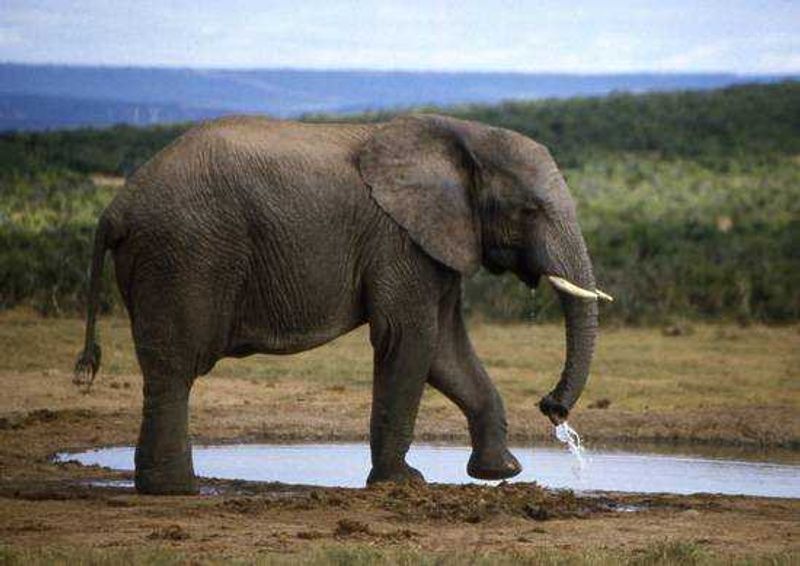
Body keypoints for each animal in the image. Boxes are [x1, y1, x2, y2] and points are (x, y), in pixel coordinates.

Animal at [74, 114, 611, 495]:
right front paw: (403, 483)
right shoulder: (399, 240)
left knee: (165, 369)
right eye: (530, 210)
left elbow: (445, 351)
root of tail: (116, 208)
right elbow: (411, 340)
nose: (551, 406)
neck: (464, 134)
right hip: (186, 255)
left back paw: (162, 487)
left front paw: (500, 472)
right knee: (176, 368)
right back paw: (177, 490)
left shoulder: (435, 240)